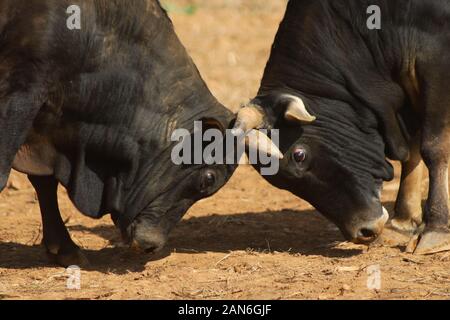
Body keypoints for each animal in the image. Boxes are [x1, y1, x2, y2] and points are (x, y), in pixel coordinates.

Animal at [234, 0, 450, 255]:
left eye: (299, 155)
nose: (364, 231)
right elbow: (412, 151)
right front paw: (403, 222)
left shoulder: (435, 57)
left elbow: (433, 147)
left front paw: (435, 228)